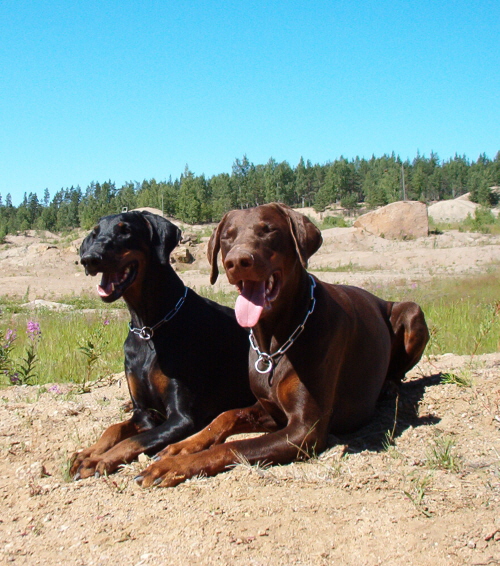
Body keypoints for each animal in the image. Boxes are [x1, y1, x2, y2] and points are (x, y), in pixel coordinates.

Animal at [70, 210, 254, 479]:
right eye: (94, 233)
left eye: (125, 230)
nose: (89, 259)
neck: (148, 329)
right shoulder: (145, 413)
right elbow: (113, 429)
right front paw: (88, 452)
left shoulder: (181, 418)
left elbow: (133, 441)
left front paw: (98, 459)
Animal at [135, 203, 429, 487]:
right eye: (227, 236)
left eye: (269, 230)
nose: (237, 261)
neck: (273, 343)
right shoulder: (270, 409)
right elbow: (225, 417)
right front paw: (180, 447)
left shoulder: (305, 429)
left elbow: (234, 447)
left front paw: (172, 466)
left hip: (411, 311)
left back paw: (389, 386)